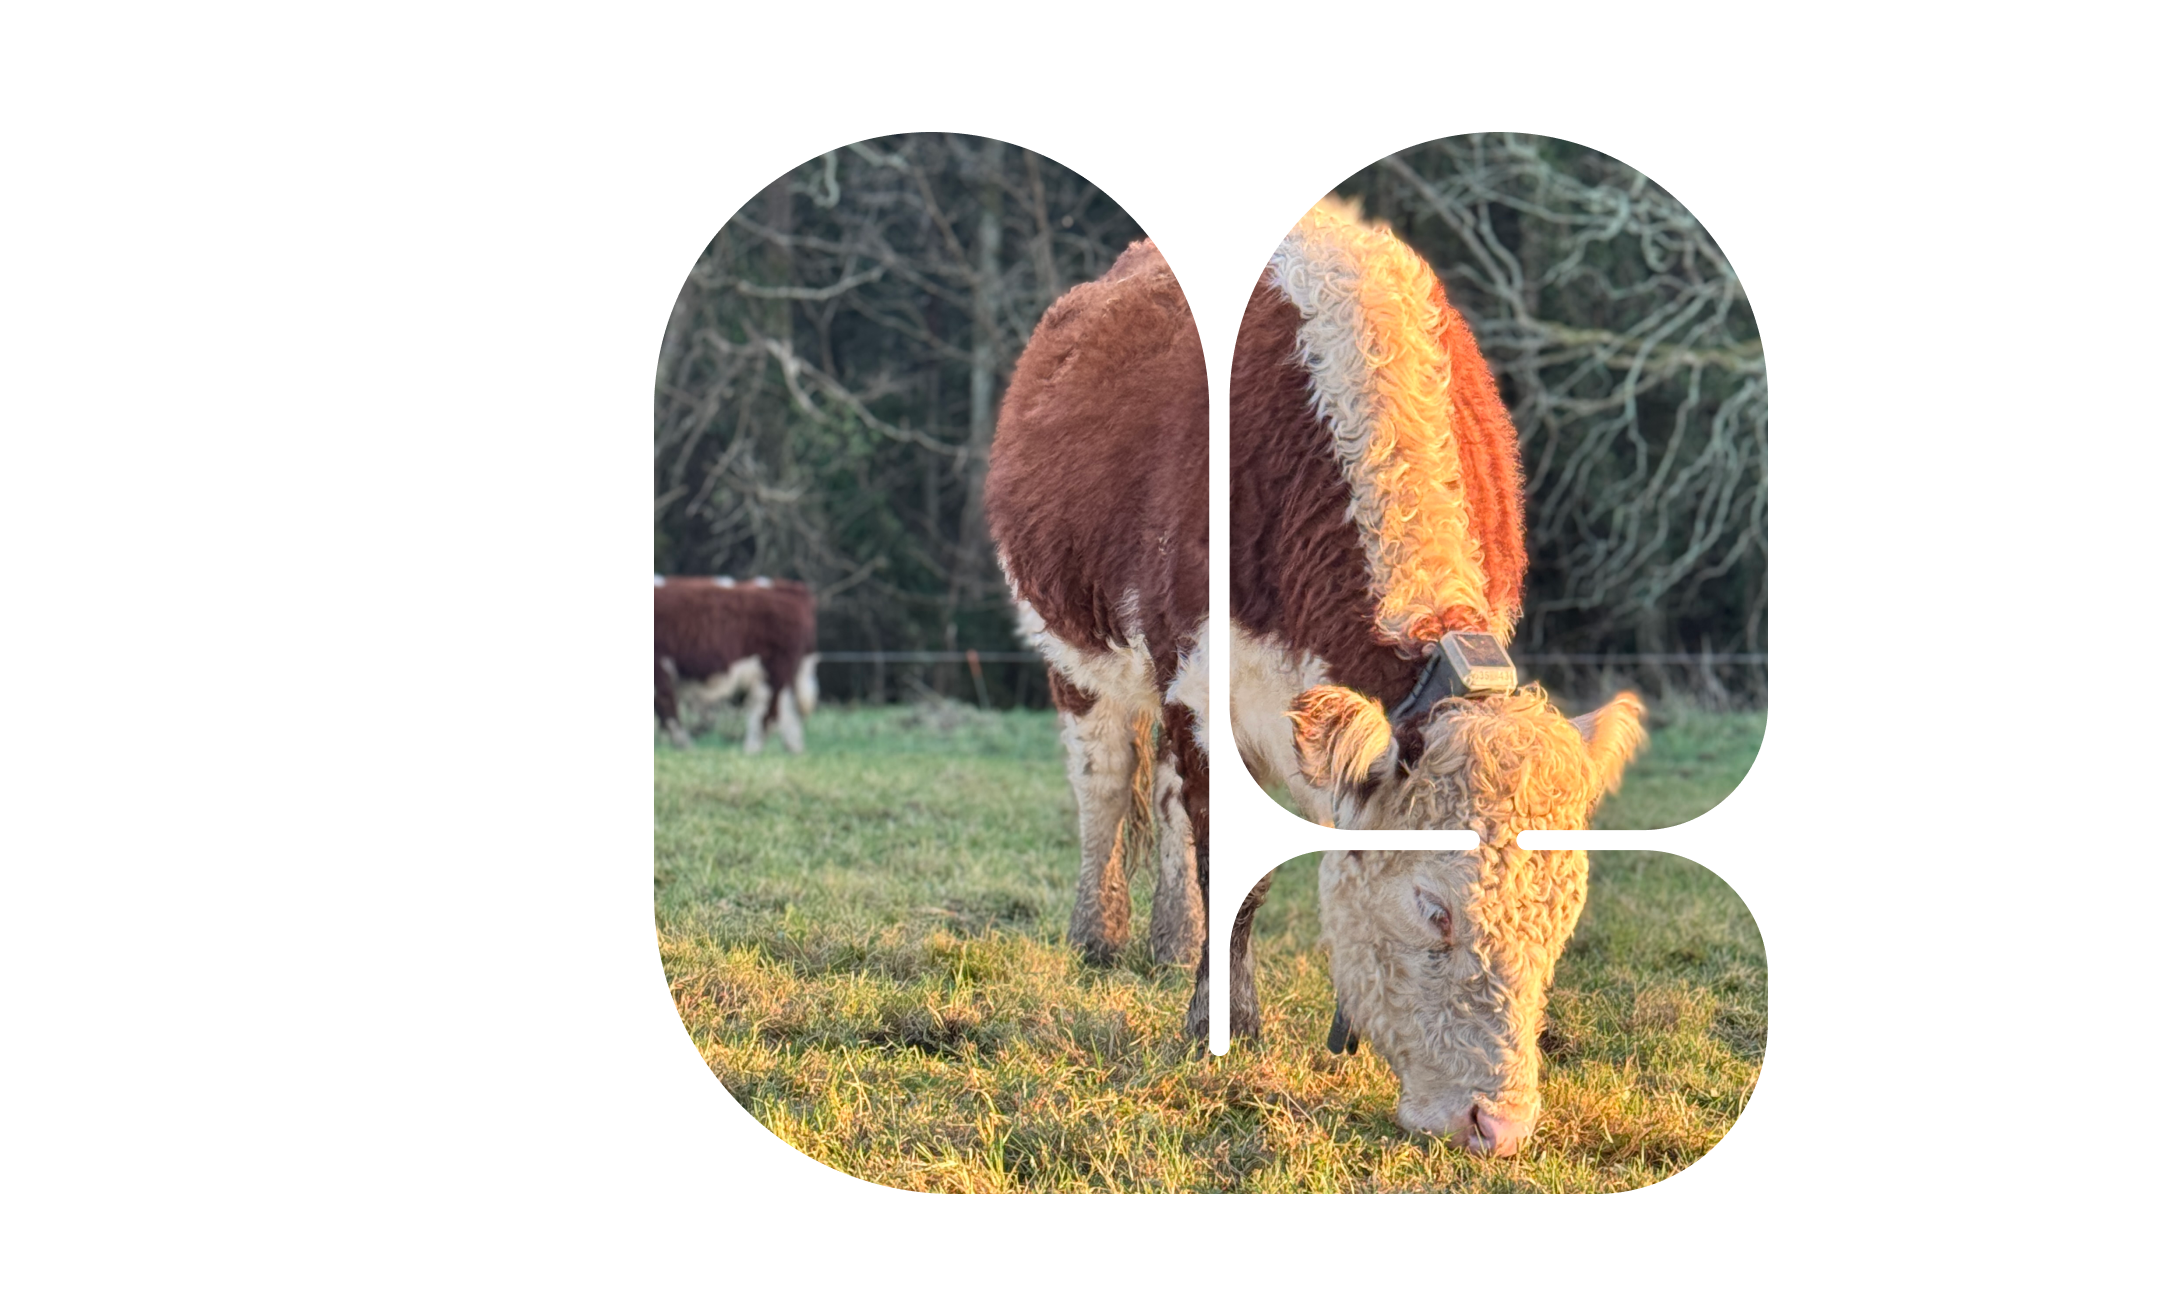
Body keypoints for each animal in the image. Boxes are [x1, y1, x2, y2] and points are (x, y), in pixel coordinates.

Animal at [653, 575, 818, 754]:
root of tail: (788, 588)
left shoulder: (659, 666)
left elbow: (666, 706)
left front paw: (685, 746)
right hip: (783, 675)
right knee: (787, 709)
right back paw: (794, 749)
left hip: (772, 671)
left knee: (765, 711)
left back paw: (752, 749)